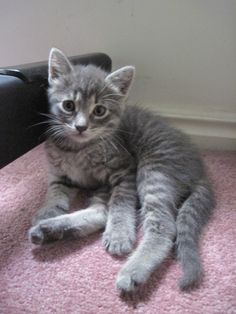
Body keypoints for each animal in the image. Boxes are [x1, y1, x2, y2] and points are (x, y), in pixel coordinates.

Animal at [28, 48, 215, 292]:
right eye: (68, 105)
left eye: (99, 110)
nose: (81, 127)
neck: (78, 149)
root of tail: (199, 170)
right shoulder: (59, 174)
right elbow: (55, 192)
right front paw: (47, 210)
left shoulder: (125, 170)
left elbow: (120, 203)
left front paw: (119, 233)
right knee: (99, 212)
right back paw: (47, 229)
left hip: (154, 170)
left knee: (163, 225)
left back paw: (133, 270)